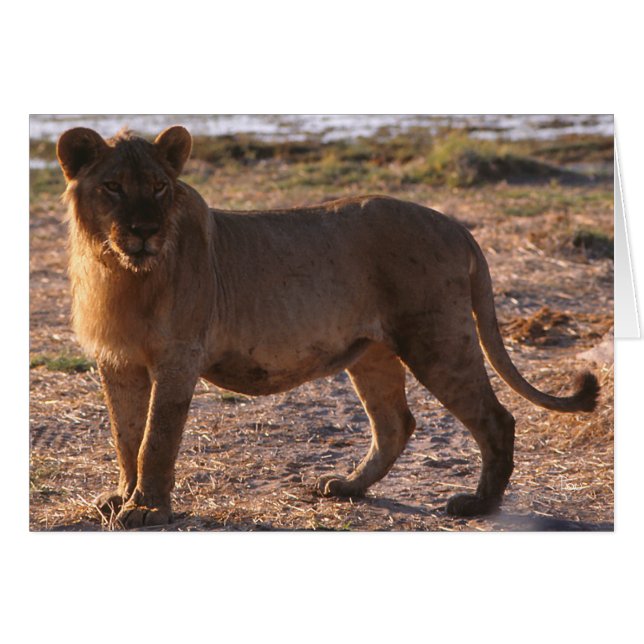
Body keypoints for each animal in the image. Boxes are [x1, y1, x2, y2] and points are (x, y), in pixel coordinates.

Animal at [56, 125, 599, 528]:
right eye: (112, 187)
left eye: (159, 187)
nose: (144, 231)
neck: (121, 271)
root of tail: (455, 225)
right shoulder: (117, 360)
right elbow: (125, 435)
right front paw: (120, 497)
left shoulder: (179, 356)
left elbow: (156, 438)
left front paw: (147, 509)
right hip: (374, 352)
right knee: (395, 423)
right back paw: (347, 487)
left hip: (436, 339)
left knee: (495, 418)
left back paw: (478, 504)